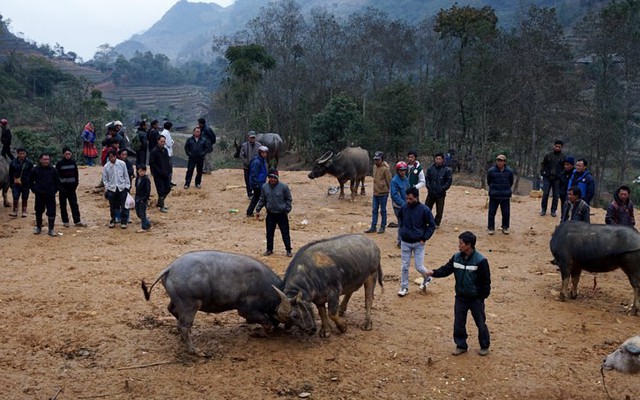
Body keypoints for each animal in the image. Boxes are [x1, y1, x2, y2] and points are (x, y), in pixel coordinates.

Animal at [145, 250, 284, 356]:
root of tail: (171, 268)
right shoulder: (247, 311)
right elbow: (266, 322)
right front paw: (260, 333)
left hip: (178, 302)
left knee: (172, 311)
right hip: (190, 305)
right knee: (183, 326)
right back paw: (195, 351)